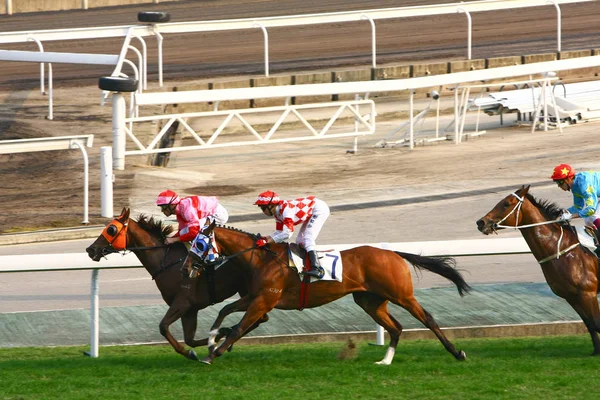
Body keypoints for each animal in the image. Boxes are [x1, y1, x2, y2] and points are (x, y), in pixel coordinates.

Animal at [85, 208, 268, 360]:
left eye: (111, 229)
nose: (90, 250)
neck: (166, 261)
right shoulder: (190, 309)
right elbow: (190, 339)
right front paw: (216, 336)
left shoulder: (182, 302)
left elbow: (163, 327)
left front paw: (196, 350)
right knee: (261, 318)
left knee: (260, 317)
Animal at [183, 225, 474, 366]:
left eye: (199, 243)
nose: (186, 267)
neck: (261, 259)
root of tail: (392, 253)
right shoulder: (256, 298)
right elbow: (224, 311)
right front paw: (212, 340)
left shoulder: (264, 300)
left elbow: (238, 327)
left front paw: (212, 354)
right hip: (370, 301)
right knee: (396, 328)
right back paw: (385, 360)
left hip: (401, 295)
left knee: (427, 318)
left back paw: (457, 353)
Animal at [476, 186, 596, 354]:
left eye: (506, 204)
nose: (481, 222)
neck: (560, 249)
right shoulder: (571, 296)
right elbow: (591, 325)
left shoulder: (588, 293)